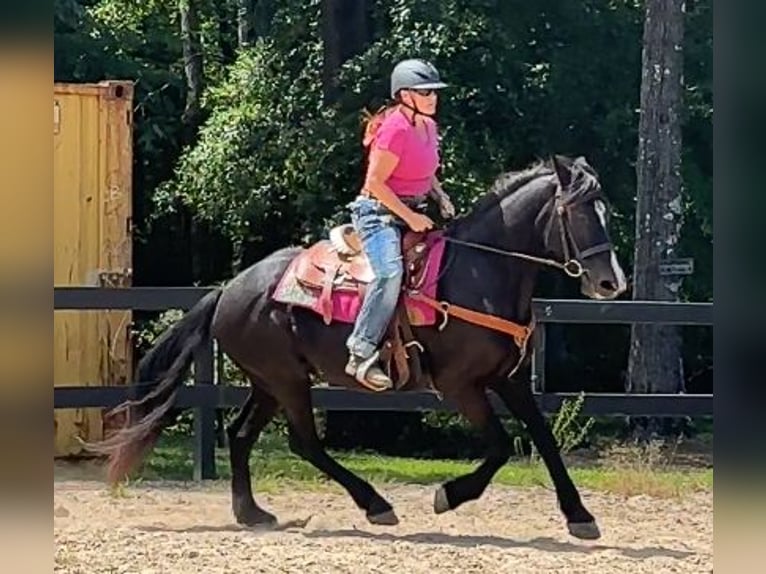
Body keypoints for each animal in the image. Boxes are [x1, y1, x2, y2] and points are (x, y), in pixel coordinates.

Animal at [90, 154, 632, 540]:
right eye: (575, 211)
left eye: (606, 211)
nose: (611, 282)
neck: (479, 273)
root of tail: (229, 289)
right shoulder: (461, 385)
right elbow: (500, 446)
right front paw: (448, 495)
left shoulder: (510, 378)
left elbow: (543, 438)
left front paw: (580, 515)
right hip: (288, 380)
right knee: (304, 443)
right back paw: (376, 504)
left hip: (270, 381)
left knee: (241, 435)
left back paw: (252, 512)